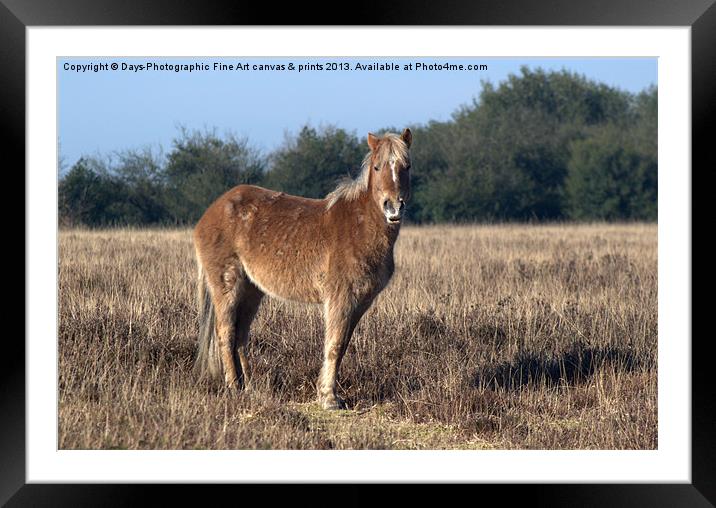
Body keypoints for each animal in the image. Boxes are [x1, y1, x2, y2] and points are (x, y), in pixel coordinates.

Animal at [194, 128, 414, 408]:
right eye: (377, 167)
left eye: (406, 166)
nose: (393, 207)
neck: (360, 225)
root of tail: (211, 212)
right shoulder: (340, 298)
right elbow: (334, 344)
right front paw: (329, 398)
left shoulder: (361, 301)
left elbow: (343, 345)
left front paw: (329, 393)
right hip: (227, 286)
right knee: (226, 333)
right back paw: (233, 386)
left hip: (252, 290)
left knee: (241, 336)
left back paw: (249, 387)